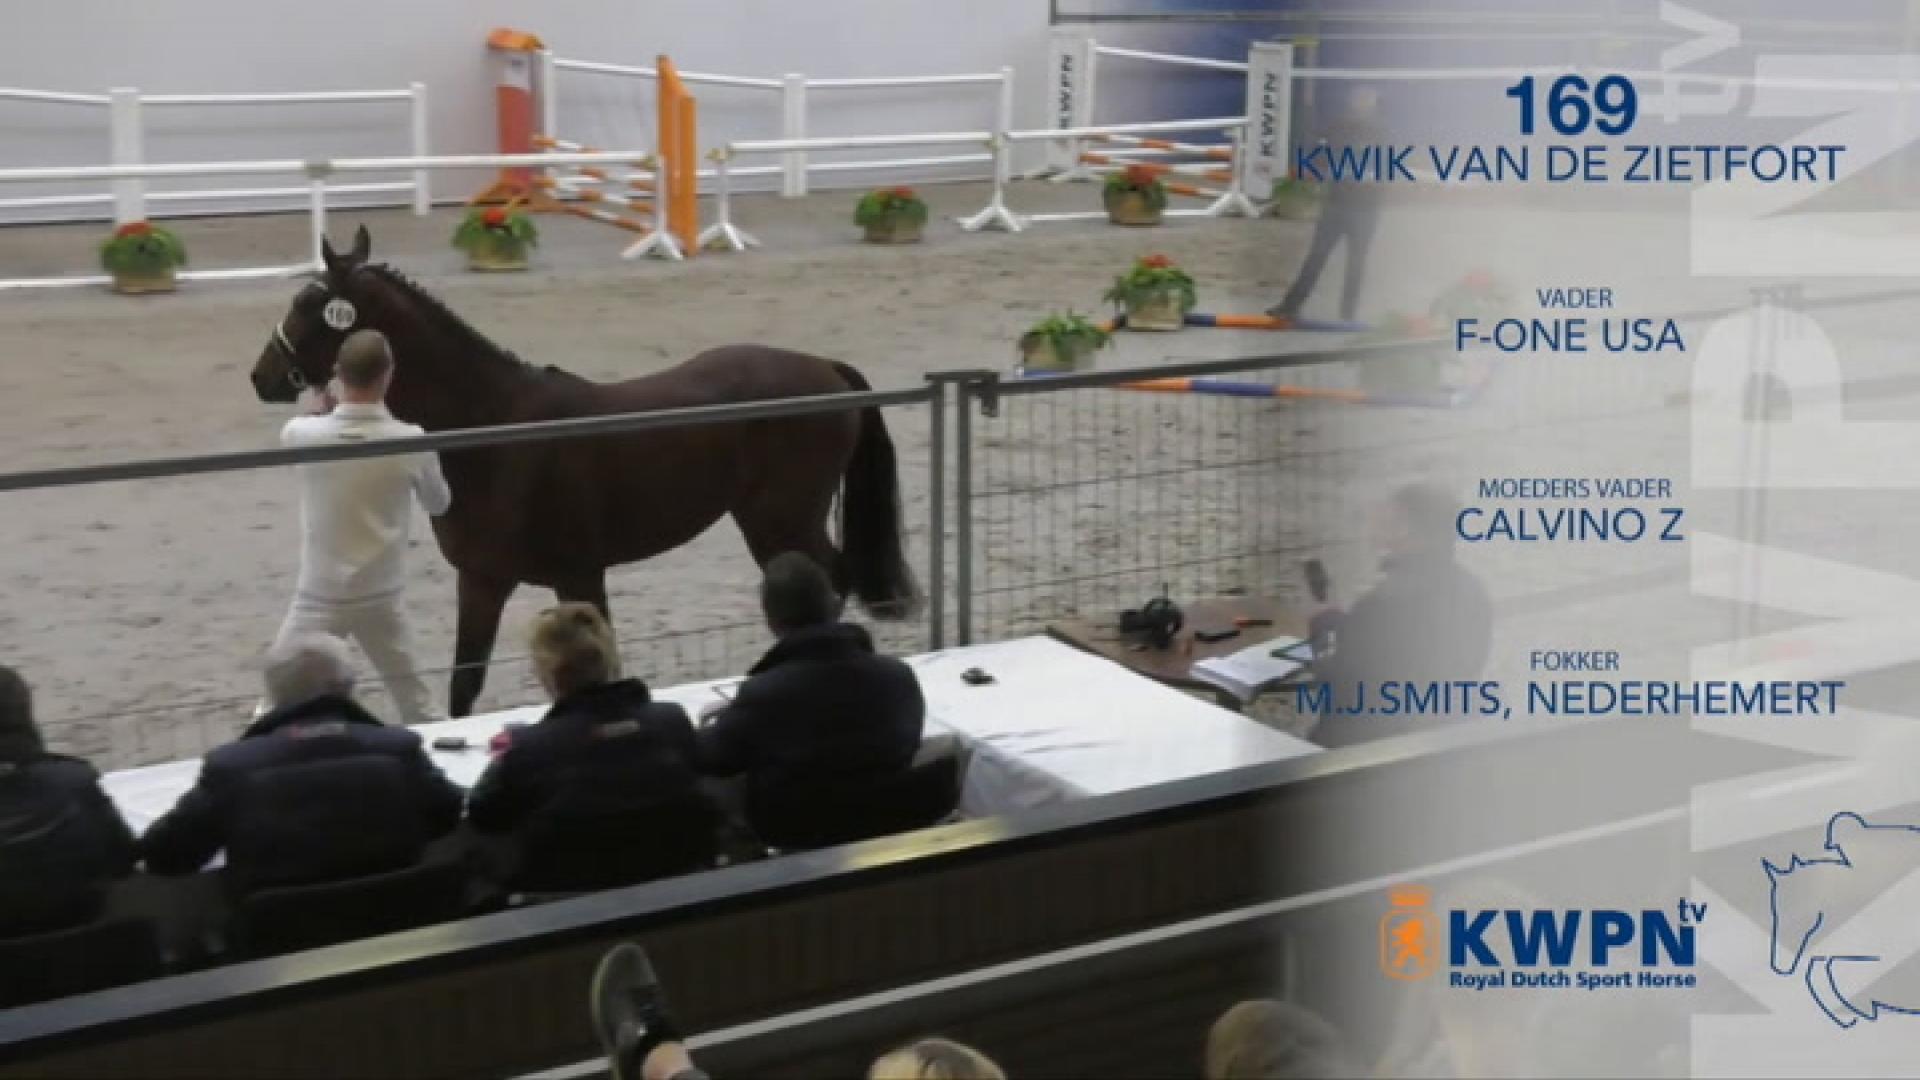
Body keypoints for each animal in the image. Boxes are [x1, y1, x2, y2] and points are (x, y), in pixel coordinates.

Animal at [249, 227, 918, 717]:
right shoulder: (483, 580)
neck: (496, 430)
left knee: (829, 579)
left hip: (781, 519)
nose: (262, 375)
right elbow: (465, 682)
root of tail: (826, 368)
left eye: (309, 303)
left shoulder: (578, 575)